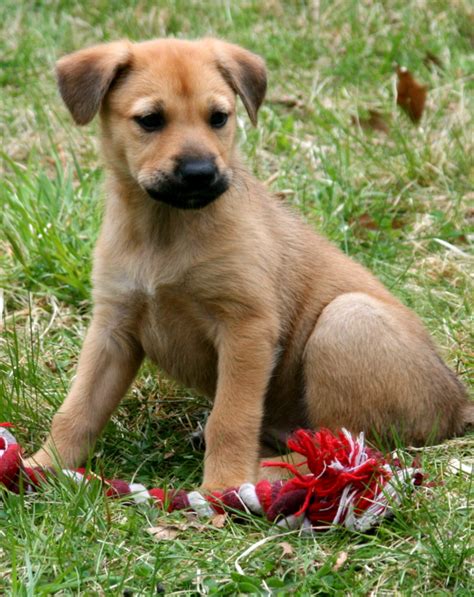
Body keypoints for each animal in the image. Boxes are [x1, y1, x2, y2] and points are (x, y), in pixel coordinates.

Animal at [25, 37, 470, 488]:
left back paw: (269, 476)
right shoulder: (113, 328)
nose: (200, 173)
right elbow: (77, 410)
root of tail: (457, 403)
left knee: (348, 448)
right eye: (150, 120)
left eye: (219, 117)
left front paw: (222, 488)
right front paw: (41, 467)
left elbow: (232, 418)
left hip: (346, 320)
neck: (164, 231)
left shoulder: (245, 327)